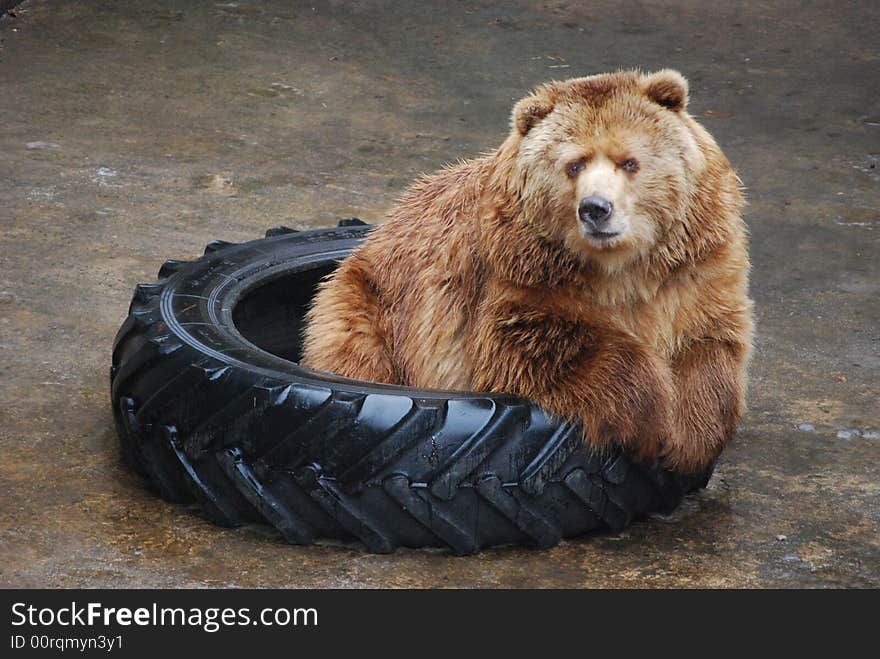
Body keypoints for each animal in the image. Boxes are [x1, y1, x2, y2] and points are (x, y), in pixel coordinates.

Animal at [300, 69, 752, 474]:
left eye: (629, 162)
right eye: (574, 165)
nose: (595, 208)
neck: (620, 267)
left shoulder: (693, 268)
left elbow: (709, 344)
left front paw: (689, 436)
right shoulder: (520, 275)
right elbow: (538, 341)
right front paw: (650, 419)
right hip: (371, 303)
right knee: (353, 350)